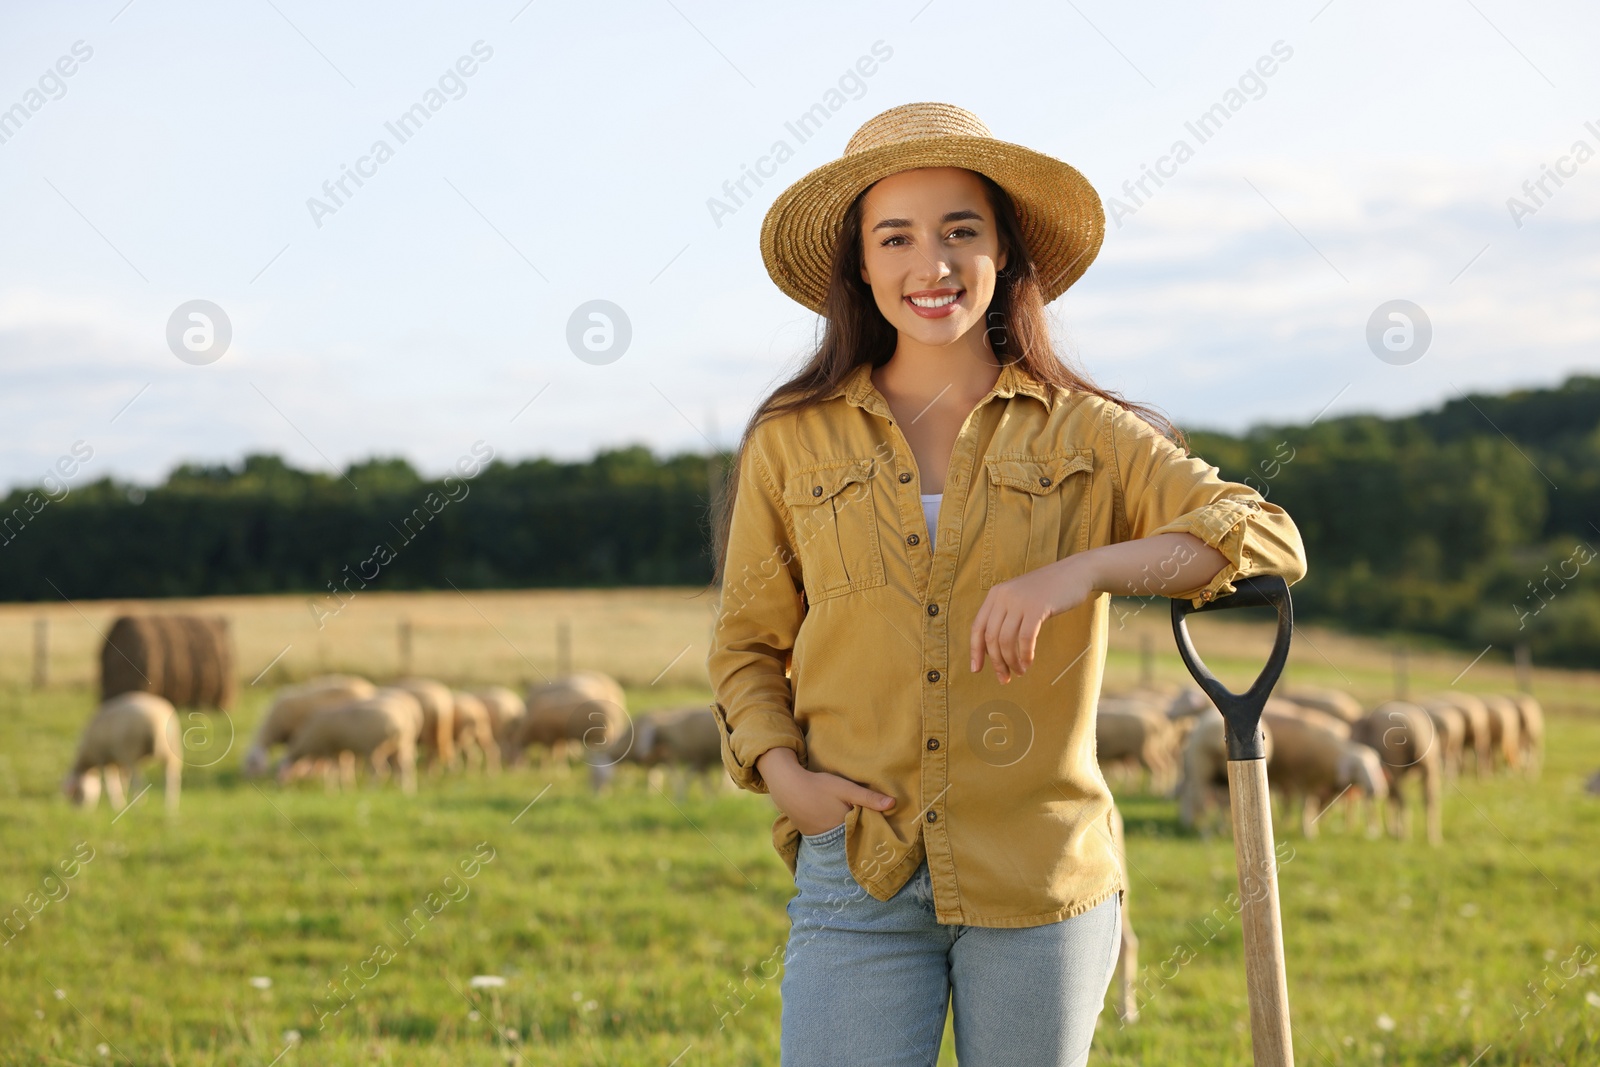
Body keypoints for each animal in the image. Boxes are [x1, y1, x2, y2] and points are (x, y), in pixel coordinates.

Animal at [278, 687, 422, 796]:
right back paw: (407, 790)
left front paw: (331, 790)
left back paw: (372, 789)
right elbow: (344, 769)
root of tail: (401, 722)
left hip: (373, 747)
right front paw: (348, 788)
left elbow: (330, 771)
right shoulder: (342, 751)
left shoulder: (328, 749)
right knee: (405, 767)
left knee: (379, 771)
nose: (279, 786)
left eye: (282, 772)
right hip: (403, 745)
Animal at [1260, 710, 1388, 844]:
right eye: (1356, 768)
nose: (1377, 790)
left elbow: (1311, 805)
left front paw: (1311, 831)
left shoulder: (1312, 782)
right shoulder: (1301, 779)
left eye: (1376, 767)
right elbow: (1304, 806)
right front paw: (1306, 832)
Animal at [1356, 700, 1446, 844]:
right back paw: (1433, 838)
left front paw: (1388, 829)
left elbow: (1380, 799)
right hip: (1430, 764)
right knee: (1430, 798)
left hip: (1395, 765)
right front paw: (1389, 828)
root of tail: (1415, 729)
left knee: (1402, 800)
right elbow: (1389, 798)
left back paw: (1404, 836)